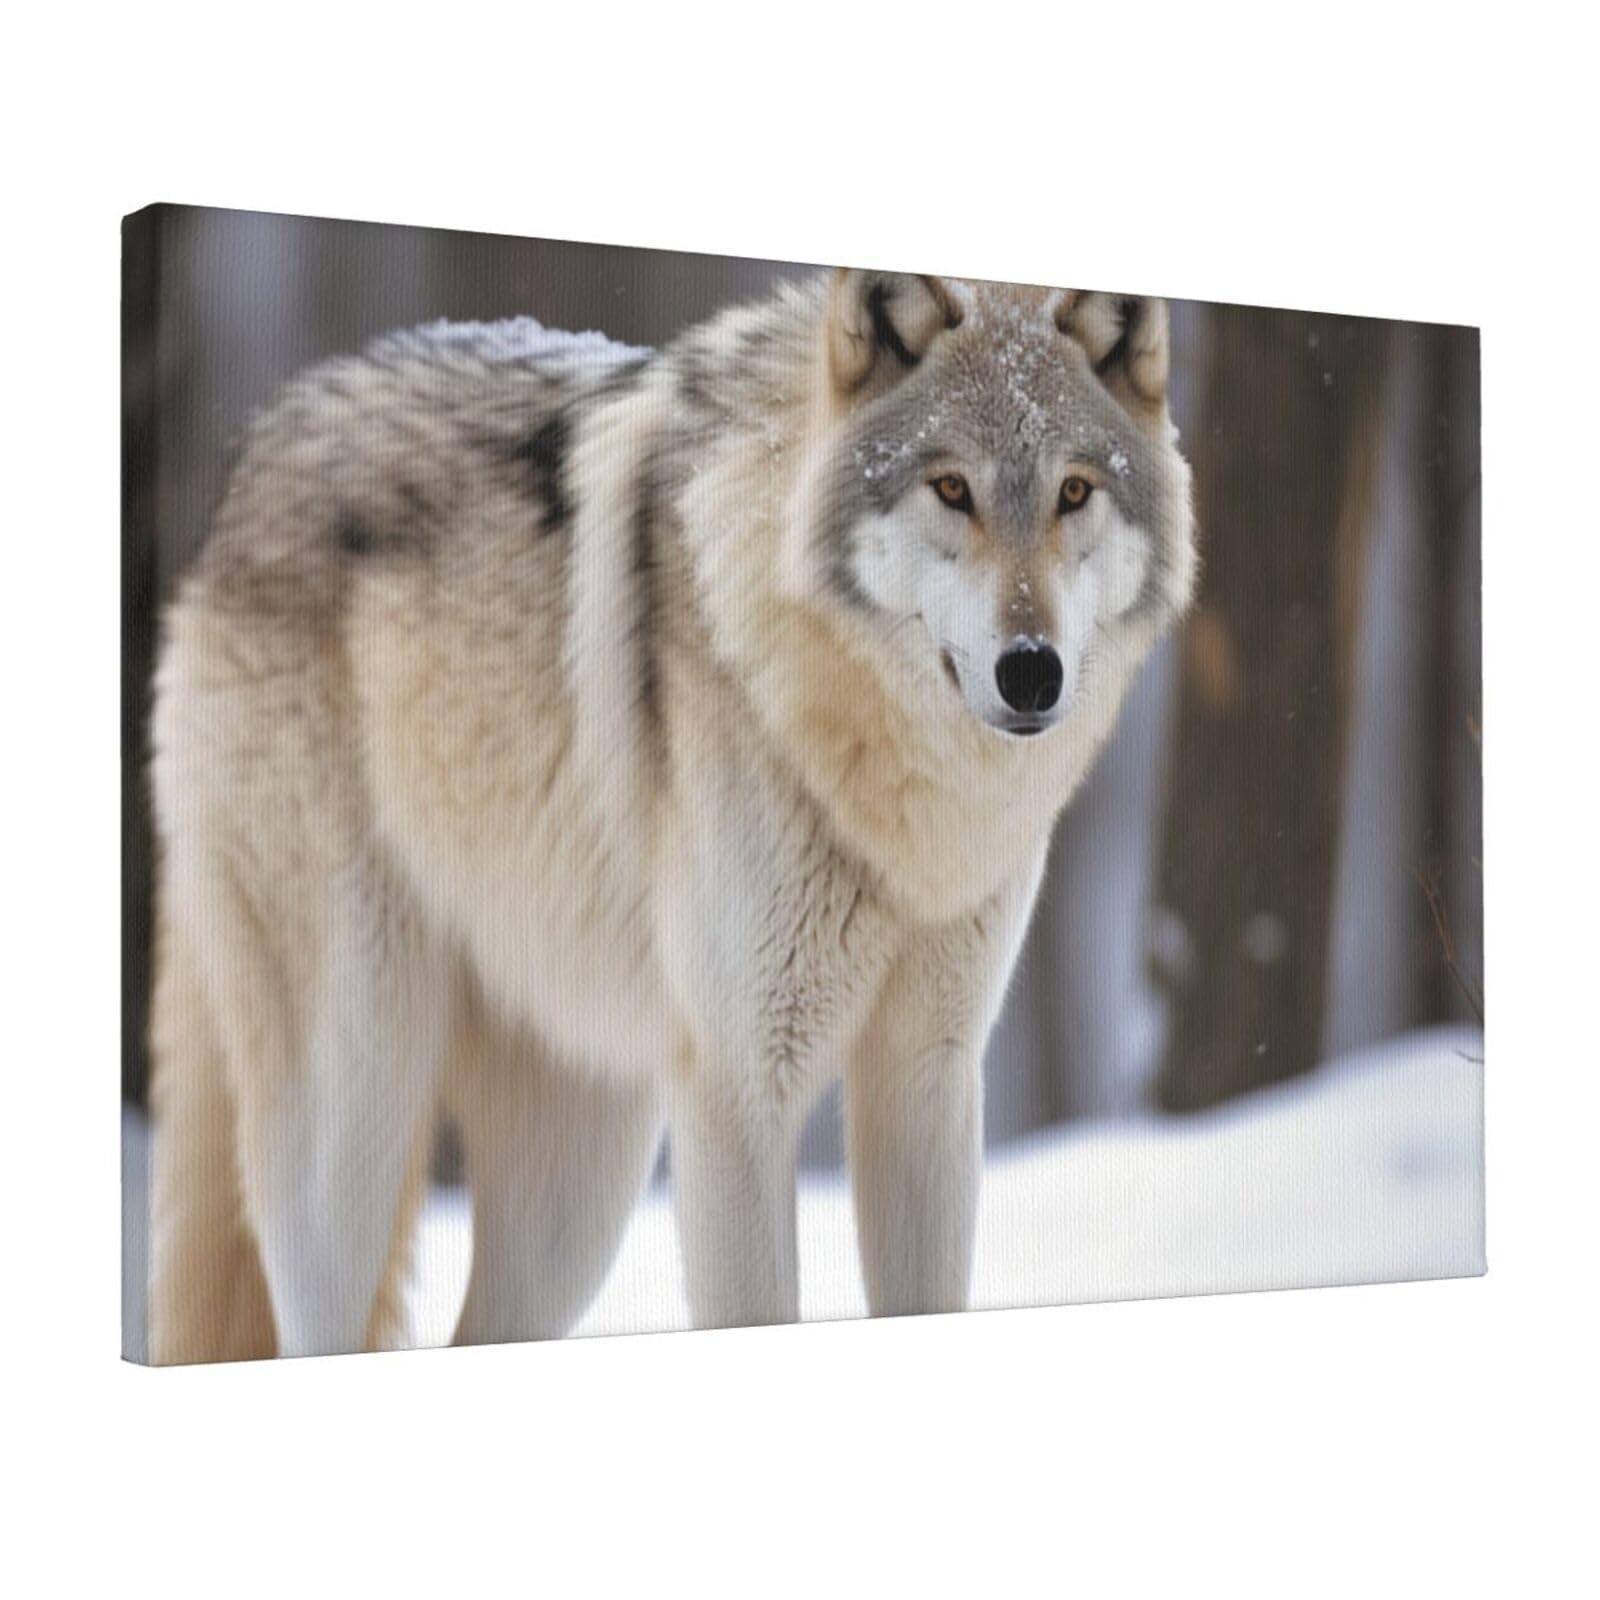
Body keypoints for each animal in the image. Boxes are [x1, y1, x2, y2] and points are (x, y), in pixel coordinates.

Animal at [145, 267, 1196, 1361]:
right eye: (951, 487)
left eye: (1074, 490)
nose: (1031, 671)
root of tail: (252, 459)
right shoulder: (741, 1089)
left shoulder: (929, 1081)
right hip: (352, 1124)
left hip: (578, 1196)